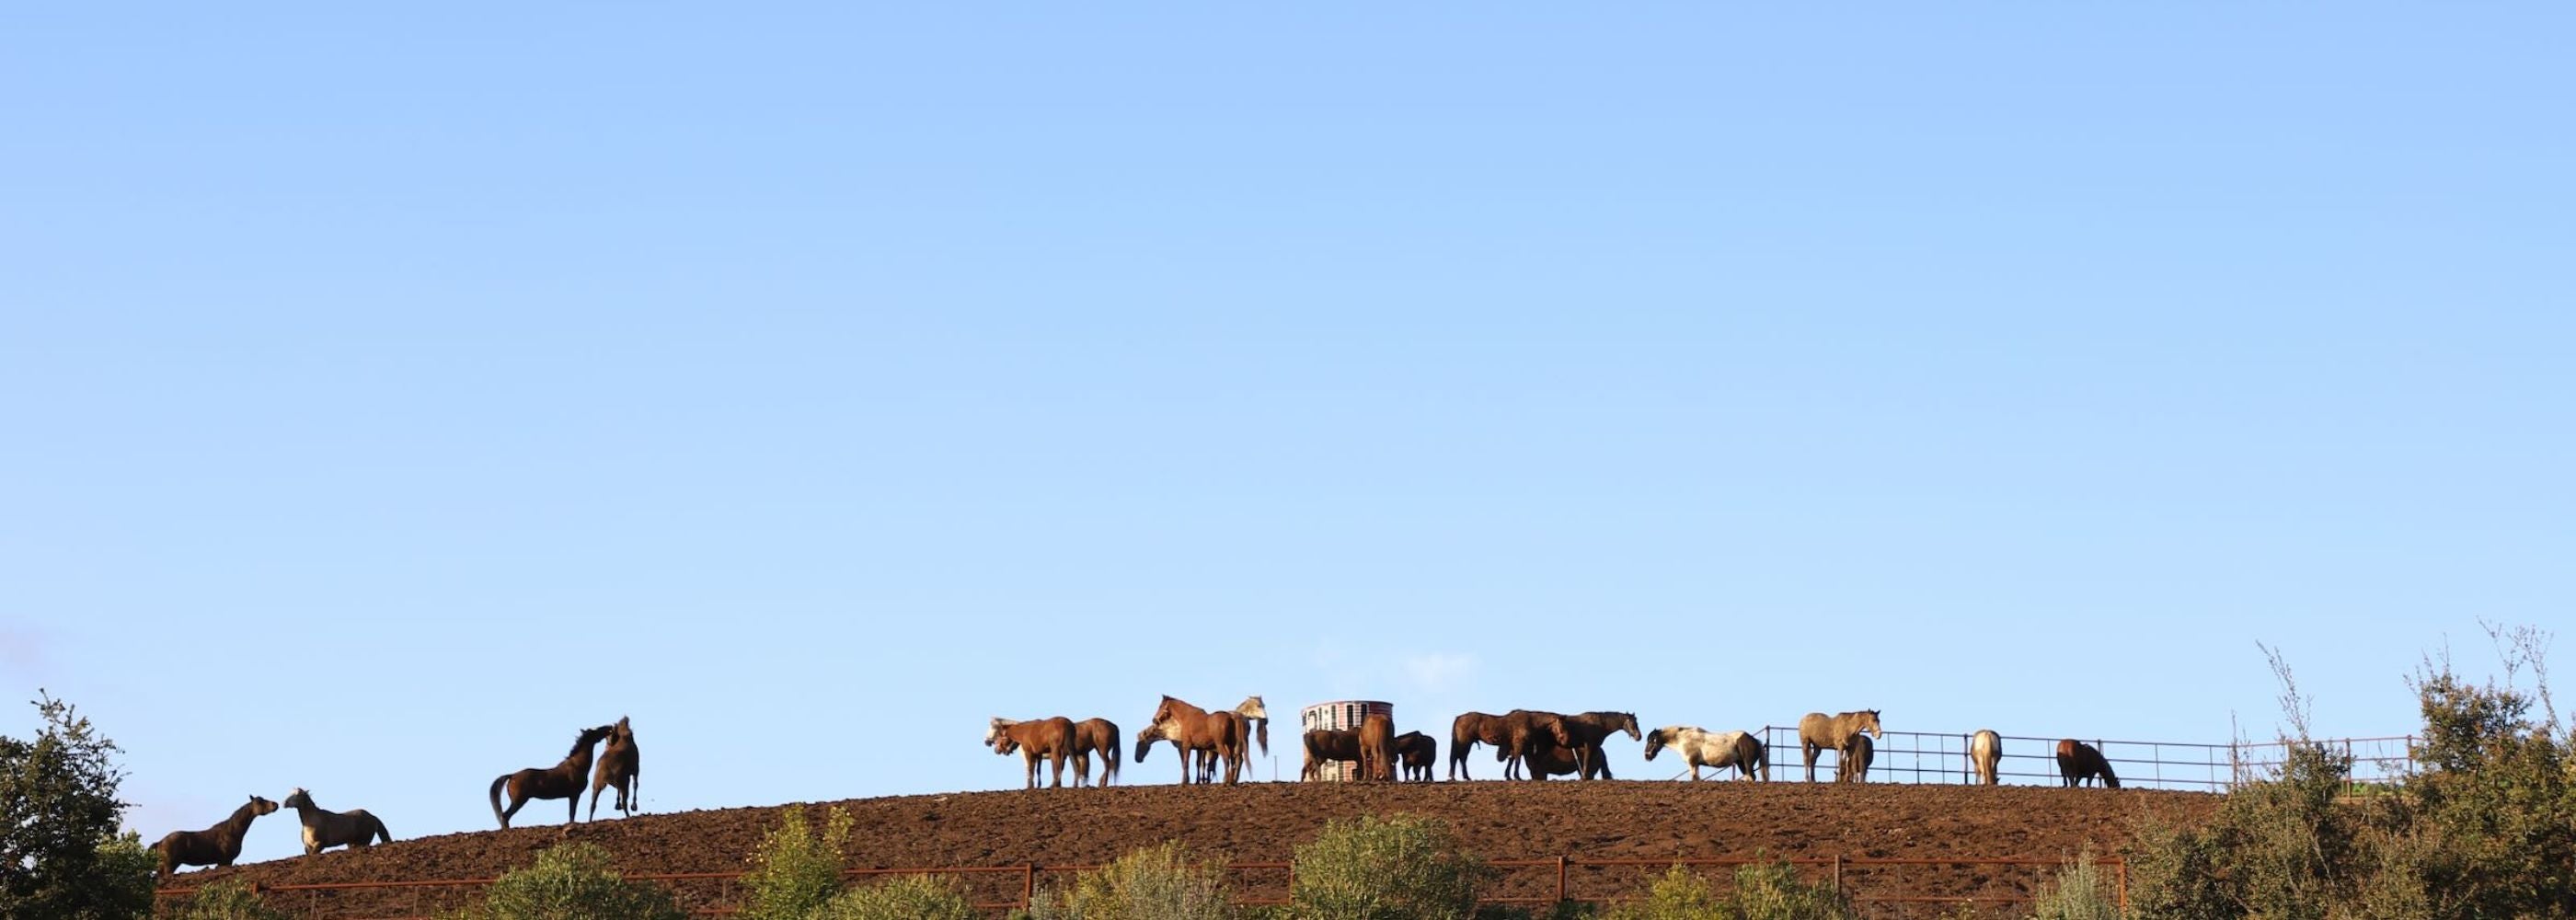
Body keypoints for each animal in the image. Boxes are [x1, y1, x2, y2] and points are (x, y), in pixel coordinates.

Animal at [151, 795, 277, 876]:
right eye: (259, 801)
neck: (231, 832)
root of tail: (160, 842)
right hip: (170, 866)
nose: (275, 804)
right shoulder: (225, 861)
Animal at [490, 724, 615, 829]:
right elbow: (572, 813)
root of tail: (512, 776)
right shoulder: (574, 795)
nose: (609, 727)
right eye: (595, 731)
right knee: (505, 815)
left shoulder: (572, 796)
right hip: (518, 801)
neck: (577, 766)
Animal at [1644, 725, 1767, 781]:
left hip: (1747, 763)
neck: (1682, 739)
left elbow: (1694, 779)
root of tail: (1755, 740)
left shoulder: (1692, 763)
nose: (1646, 756)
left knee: (1751, 777)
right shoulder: (1696, 765)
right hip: (1741, 764)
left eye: (1651, 740)